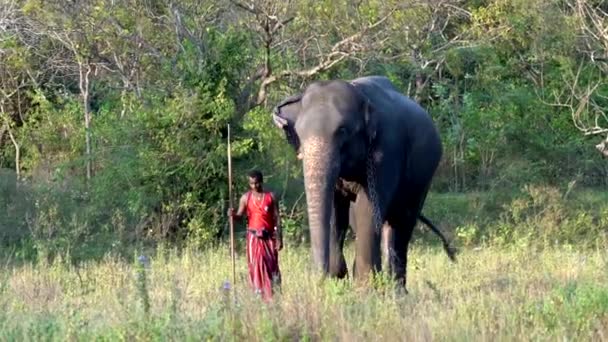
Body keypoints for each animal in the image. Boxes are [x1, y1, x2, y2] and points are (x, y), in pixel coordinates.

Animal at [272, 75, 456, 288]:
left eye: (342, 130)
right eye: (299, 133)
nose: (318, 279)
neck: (360, 94)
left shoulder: (387, 150)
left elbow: (366, 208)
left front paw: (364, 287)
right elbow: (336, 207)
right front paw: (337, 278)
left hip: (423, 178)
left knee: (402, 223)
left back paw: (396, 290)